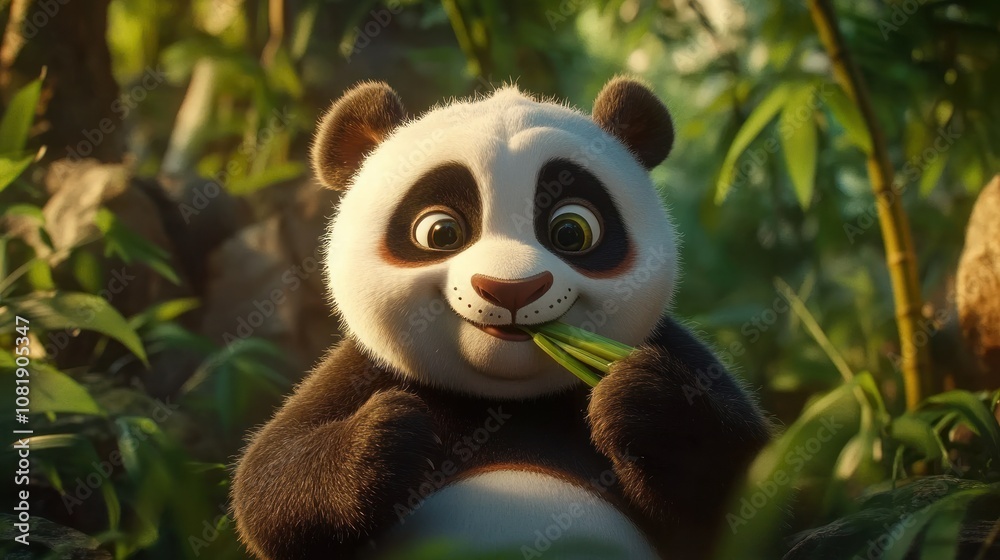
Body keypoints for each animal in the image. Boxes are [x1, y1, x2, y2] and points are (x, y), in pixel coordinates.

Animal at [230, 77, 772, 560]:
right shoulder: (363, 371)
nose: (511, 288)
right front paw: (388, 437)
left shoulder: (677, 352)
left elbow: (751, 489)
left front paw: (641, 398)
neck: (505, 399)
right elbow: (267, 484)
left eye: (571, 232)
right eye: (441, 232)